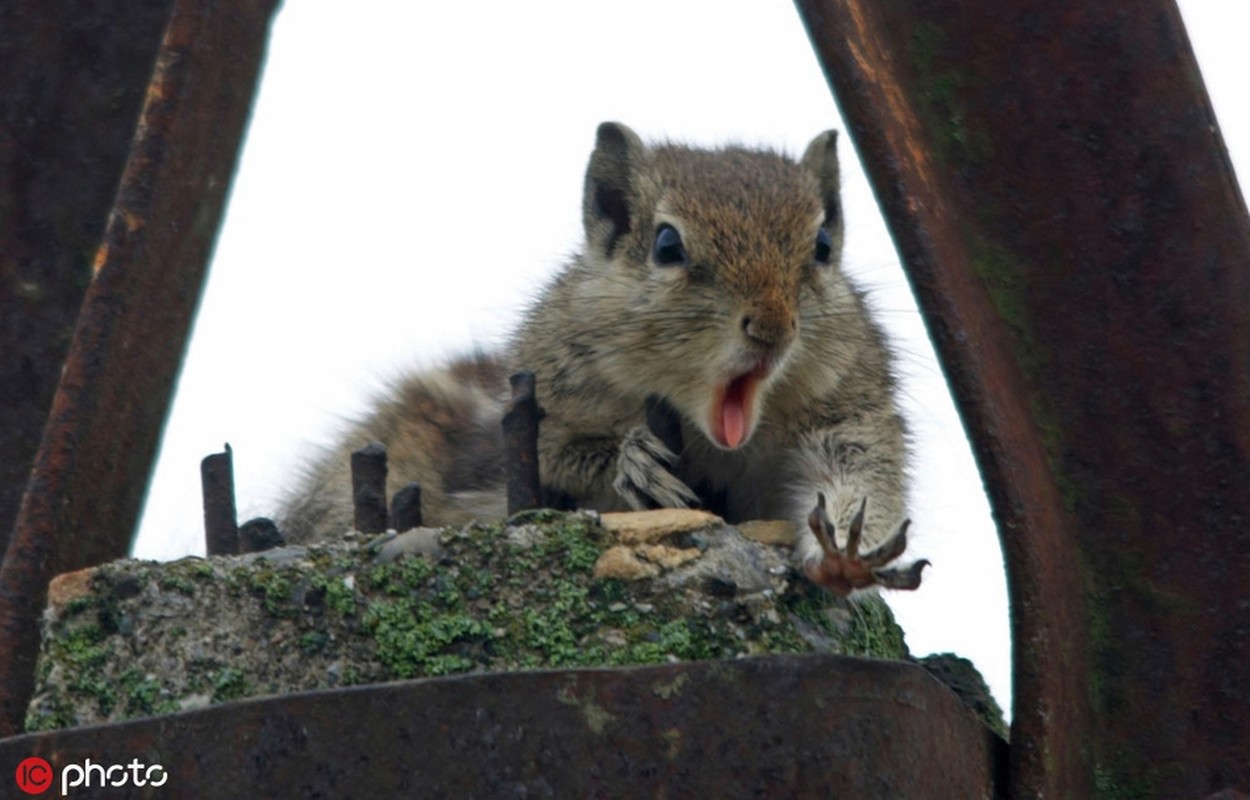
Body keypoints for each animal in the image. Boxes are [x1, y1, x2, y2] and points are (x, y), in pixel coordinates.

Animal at [281, 123, 930, 595]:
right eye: (667, 244)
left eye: (821, 246)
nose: (773, 327)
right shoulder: (534, 415)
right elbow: (559, 457)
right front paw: (633, 459)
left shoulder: (851, 410)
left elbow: (863, 472)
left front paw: (844, 554)